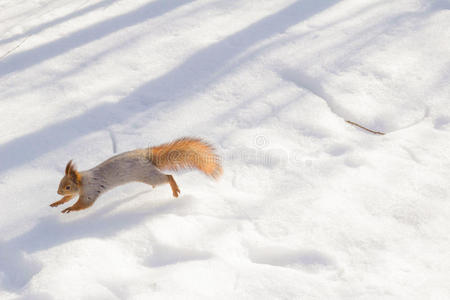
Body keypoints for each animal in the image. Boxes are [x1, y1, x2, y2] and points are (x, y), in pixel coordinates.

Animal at [50, 137, 222, 212]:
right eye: (60, 184)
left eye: (67, 186)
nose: (57, 191)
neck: (83, 181)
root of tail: (146, 156)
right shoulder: (80, 191)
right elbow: (69, 198)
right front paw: (57, 202)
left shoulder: (91, 190)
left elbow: (84, 204)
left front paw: (69, 209)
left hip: (148, 175)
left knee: (168, 177)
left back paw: (174, 190)